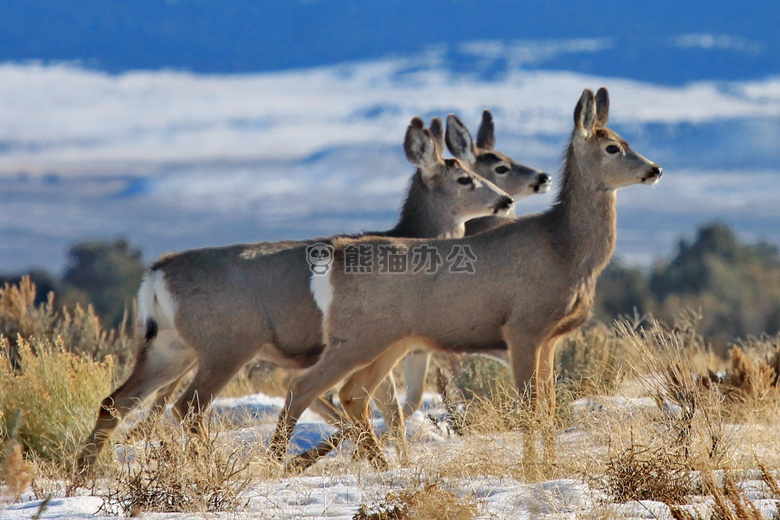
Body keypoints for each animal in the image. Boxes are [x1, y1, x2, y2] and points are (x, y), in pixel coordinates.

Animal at [77, 116, 516, 474]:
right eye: (465, 179)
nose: (506, 200)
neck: (410, 237)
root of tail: (156, 275)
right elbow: (367, 404)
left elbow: (388, 408)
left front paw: (396, 461)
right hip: (227, 343)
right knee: (189, 406)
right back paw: (211, 466)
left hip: (170, 346)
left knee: (115, 401)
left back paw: (83, 476)